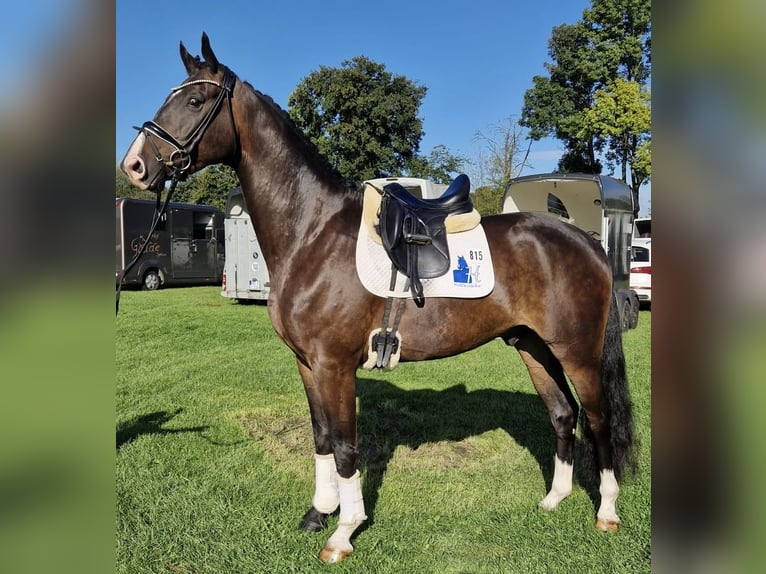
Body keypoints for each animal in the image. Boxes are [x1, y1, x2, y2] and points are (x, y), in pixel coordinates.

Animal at [120, 33, 636, 564]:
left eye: (196, 101)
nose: (135, 165)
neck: (313, 232)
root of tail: (586, 242)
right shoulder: (308, 364)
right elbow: (322, 439)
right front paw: (318, 512)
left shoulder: (334, 365)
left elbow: (347, 446)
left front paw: (343, 532)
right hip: (533, 346)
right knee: (563, 414)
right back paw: (554, 498)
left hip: (578, 351)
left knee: (599, 419)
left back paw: (606, 512)